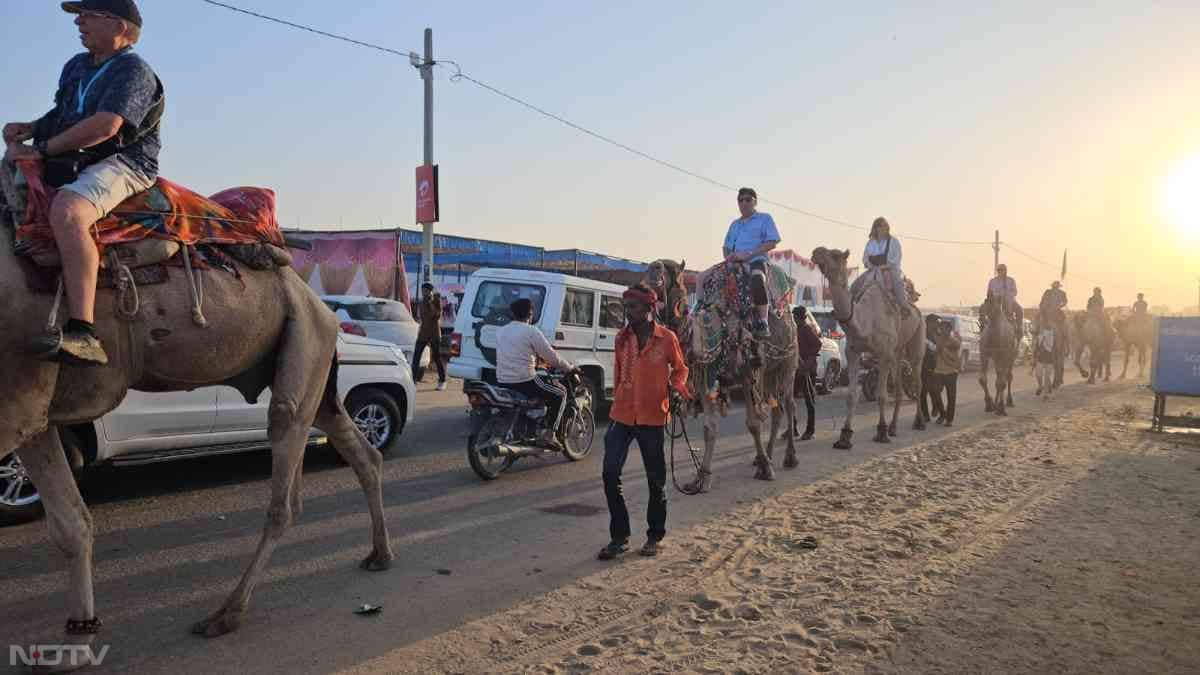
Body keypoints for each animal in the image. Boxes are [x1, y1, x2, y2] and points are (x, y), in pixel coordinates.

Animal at [0, 159, 393, 662]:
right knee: (359, 449)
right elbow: (72, 523)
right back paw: (379, 554)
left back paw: (225, 614)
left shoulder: (17, 398)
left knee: (285, 479)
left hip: (304, 338)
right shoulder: (35, 413)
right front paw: (79, 637)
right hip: (314, 364)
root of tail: (318, 302)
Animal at [648, 258, 796, 487]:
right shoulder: (705, 380)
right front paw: (701, 478)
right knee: (777, 410)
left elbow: (753, 424)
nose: (653, 268)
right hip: (769, 375)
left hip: (788, 364)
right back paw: (768, 455)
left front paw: (766, 469)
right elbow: (709, 428)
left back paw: (789, 457)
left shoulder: (747, 375)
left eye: (673, 273)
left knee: (789, 405)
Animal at [806, 247, 926, 446]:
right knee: (899, 387)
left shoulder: (884, 353)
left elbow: (881, 395)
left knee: (917, 380)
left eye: (836, 255)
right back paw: (894, 427)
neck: (866, 320)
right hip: (897, 351)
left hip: (917, 336)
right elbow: (851, 395)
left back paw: (919, 422)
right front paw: (844, 436)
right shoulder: (853, 351)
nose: (816, 251)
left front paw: (881, 432)